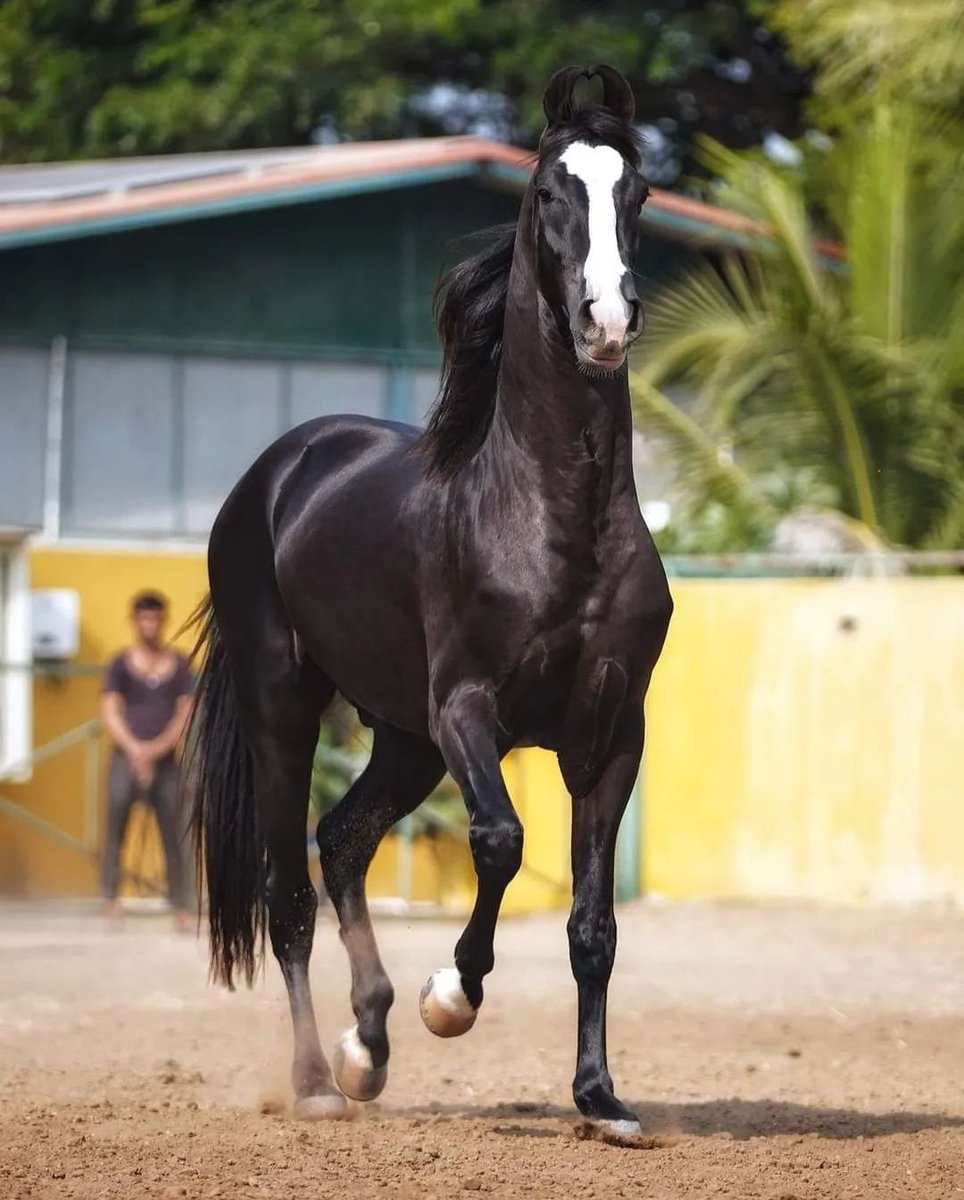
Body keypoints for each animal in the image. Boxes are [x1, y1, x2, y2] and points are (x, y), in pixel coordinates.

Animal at [188, 63, 673, 1142]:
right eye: (550, 192)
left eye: (638, 192)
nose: (606, 321)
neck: (553, 519)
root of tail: (279, 471)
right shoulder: (467, 711)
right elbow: (499, 841)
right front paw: (450, 996)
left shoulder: (612, 732)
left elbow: (593, 925)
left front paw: (601, 1100)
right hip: (289, 711)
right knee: (289, 889)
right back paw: (320, 1080)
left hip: (401, 737)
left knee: (342, 841)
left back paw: (368, 1047)